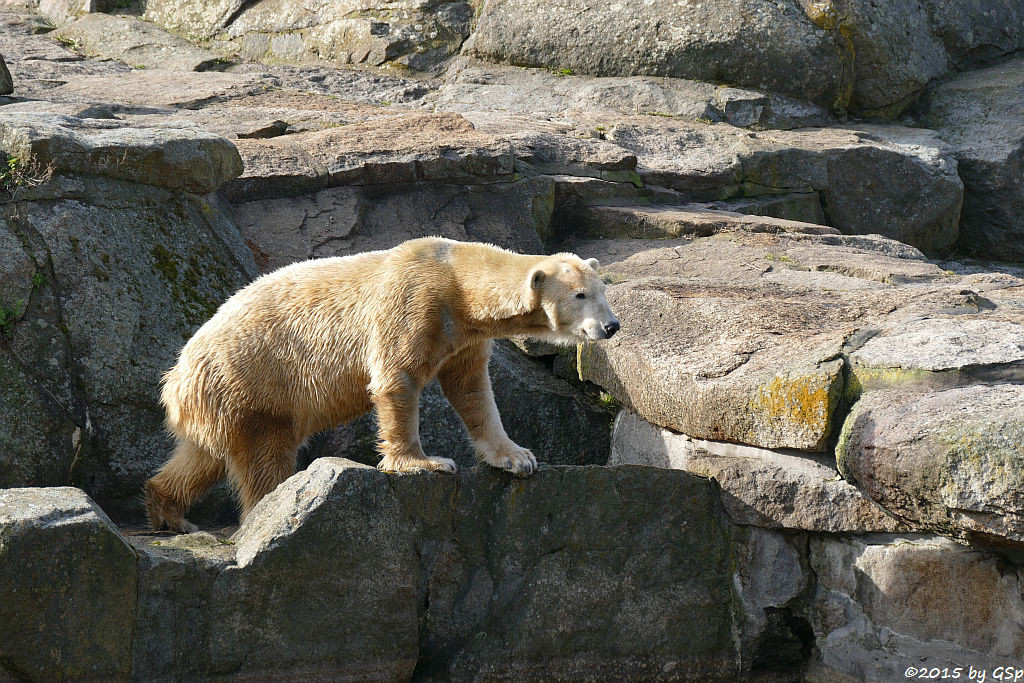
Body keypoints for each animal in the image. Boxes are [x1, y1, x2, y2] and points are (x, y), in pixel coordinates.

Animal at [145, 237, 618, 532]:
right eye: (580, 295)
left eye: (602, 290)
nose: (611, 326)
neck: (456, 279)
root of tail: (175, 377)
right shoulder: (414, 303)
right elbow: (396, 378)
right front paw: (424, 462)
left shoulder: (462, 336)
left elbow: (472, 390)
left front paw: (517, 457)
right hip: (252, 382)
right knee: (264, 458)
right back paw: (266, 506)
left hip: (226, 401)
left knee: (202, 456)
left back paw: (169, 512)